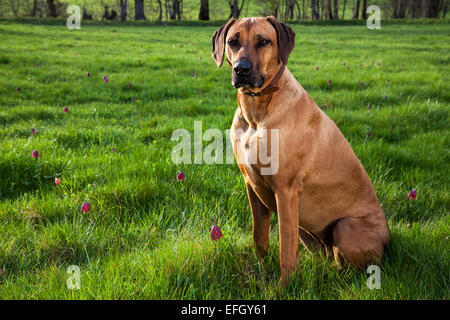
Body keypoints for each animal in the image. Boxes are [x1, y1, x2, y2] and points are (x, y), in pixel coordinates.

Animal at [209, 16, 388, 284]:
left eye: (264, 41)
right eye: (233, 41)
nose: (241, 69)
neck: (257, 111)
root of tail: (390, 241)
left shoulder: (286, 191)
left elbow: (286, 249)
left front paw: (282, 286)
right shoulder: (252, 186)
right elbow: (259, 237)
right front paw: (260, 271)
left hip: (344, 226)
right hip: (306, 229)